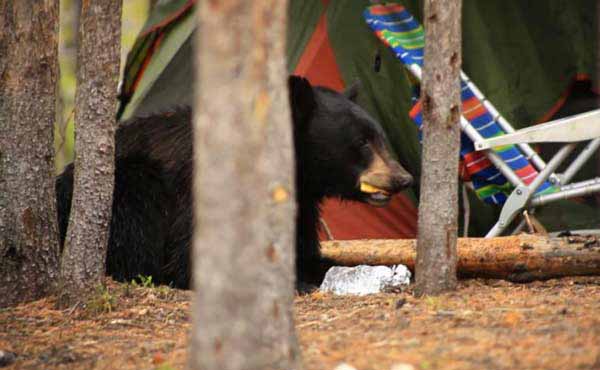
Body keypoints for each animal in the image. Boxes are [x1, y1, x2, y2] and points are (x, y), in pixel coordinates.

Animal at [55, 75, 412, 288]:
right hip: (132, 184)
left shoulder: (301, 201)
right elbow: (191, 259)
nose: (403, 178)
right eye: (363, 142)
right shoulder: (198, 193)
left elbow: (305, 251)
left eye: (379, 136)